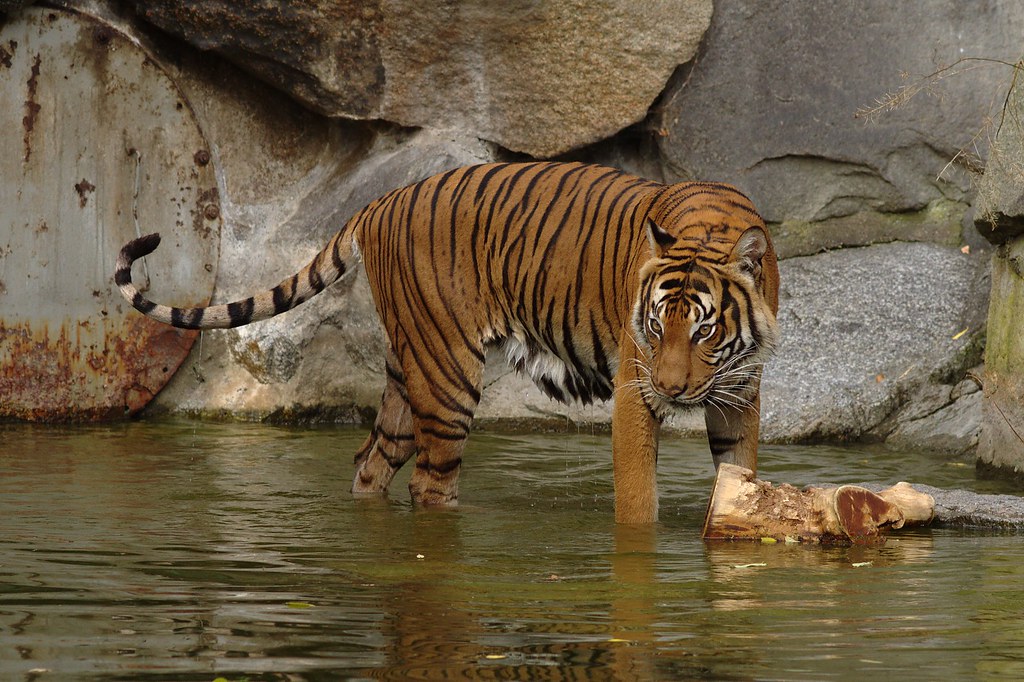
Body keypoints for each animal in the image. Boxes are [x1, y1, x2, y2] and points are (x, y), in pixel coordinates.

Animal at [115, 161, 780, 524]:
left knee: (370, 461)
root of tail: (382, 201)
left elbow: (738, 471)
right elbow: (639, 502)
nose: (671, 389)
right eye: (656, 326)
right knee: (430, 484)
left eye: (704, 328)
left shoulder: (741, 395)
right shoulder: (633, 391)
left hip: (408, 372)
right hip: (447, 375)